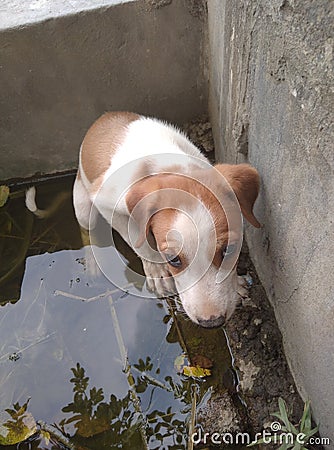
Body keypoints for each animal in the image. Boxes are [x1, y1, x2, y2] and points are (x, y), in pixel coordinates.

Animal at [69, 112, 260, 326]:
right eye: (173, 260)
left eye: (229, 249)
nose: (211, 323)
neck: (167, 163)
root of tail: (103, 117)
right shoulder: (106, 202)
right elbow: (139, 241)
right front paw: (158, 273)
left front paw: (237, 286)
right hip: (83, 205)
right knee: (87, 231)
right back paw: (92, 262)